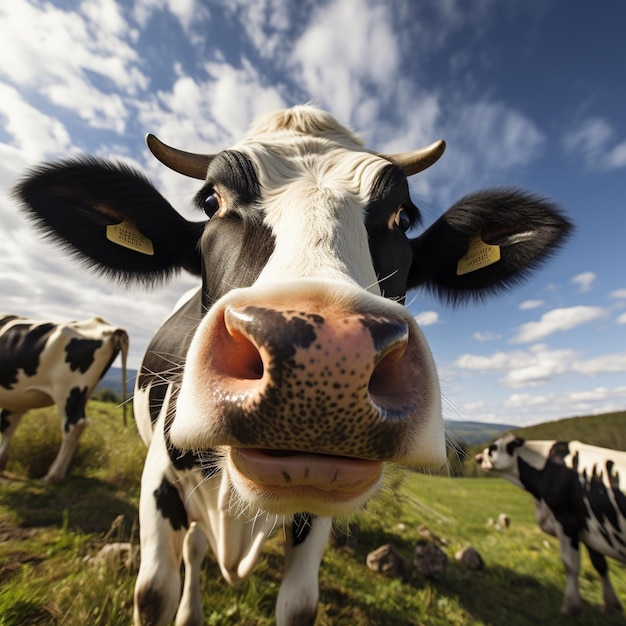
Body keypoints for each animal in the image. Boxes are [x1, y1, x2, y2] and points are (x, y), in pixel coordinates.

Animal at [0, 314, 128, 480]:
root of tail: (111, 329)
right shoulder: (17, 399)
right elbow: (8, 425)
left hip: (68, 388)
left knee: (73, 425)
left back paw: (53, 474)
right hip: (83, 392)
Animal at [13, 106, 572, 624]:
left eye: (403, 215)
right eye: (212, 201)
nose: (329, 357)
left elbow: (299, 604)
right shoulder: (160, 483)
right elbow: (153, 594)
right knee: (194, 548)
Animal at [476, 432, 620, 612]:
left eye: (493, 447)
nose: (478, 457)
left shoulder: (566, 522)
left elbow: (570, 565)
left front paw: (570, 606)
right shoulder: (590, 528)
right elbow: (600, 564)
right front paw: (611, 605)